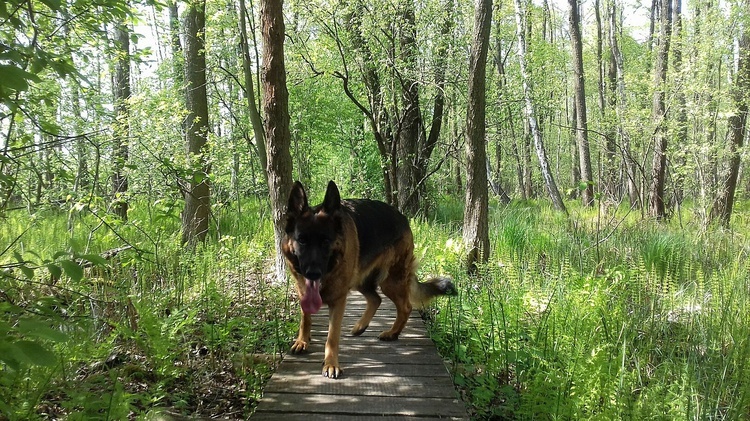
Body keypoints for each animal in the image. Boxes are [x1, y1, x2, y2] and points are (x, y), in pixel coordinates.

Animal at [284, 180, 456, 378]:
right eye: (302, 240)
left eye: (326, 241)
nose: (313, 273)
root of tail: (402, 217)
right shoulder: (303, 290)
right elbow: (305, 318)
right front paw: (302, 341)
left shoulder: (338, 301)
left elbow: (332, 337)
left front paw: (331, 364)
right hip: (361, 280)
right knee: (376, 298)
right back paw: (361, 326)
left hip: (390, 282)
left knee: (405, 307)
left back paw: (392, 333)